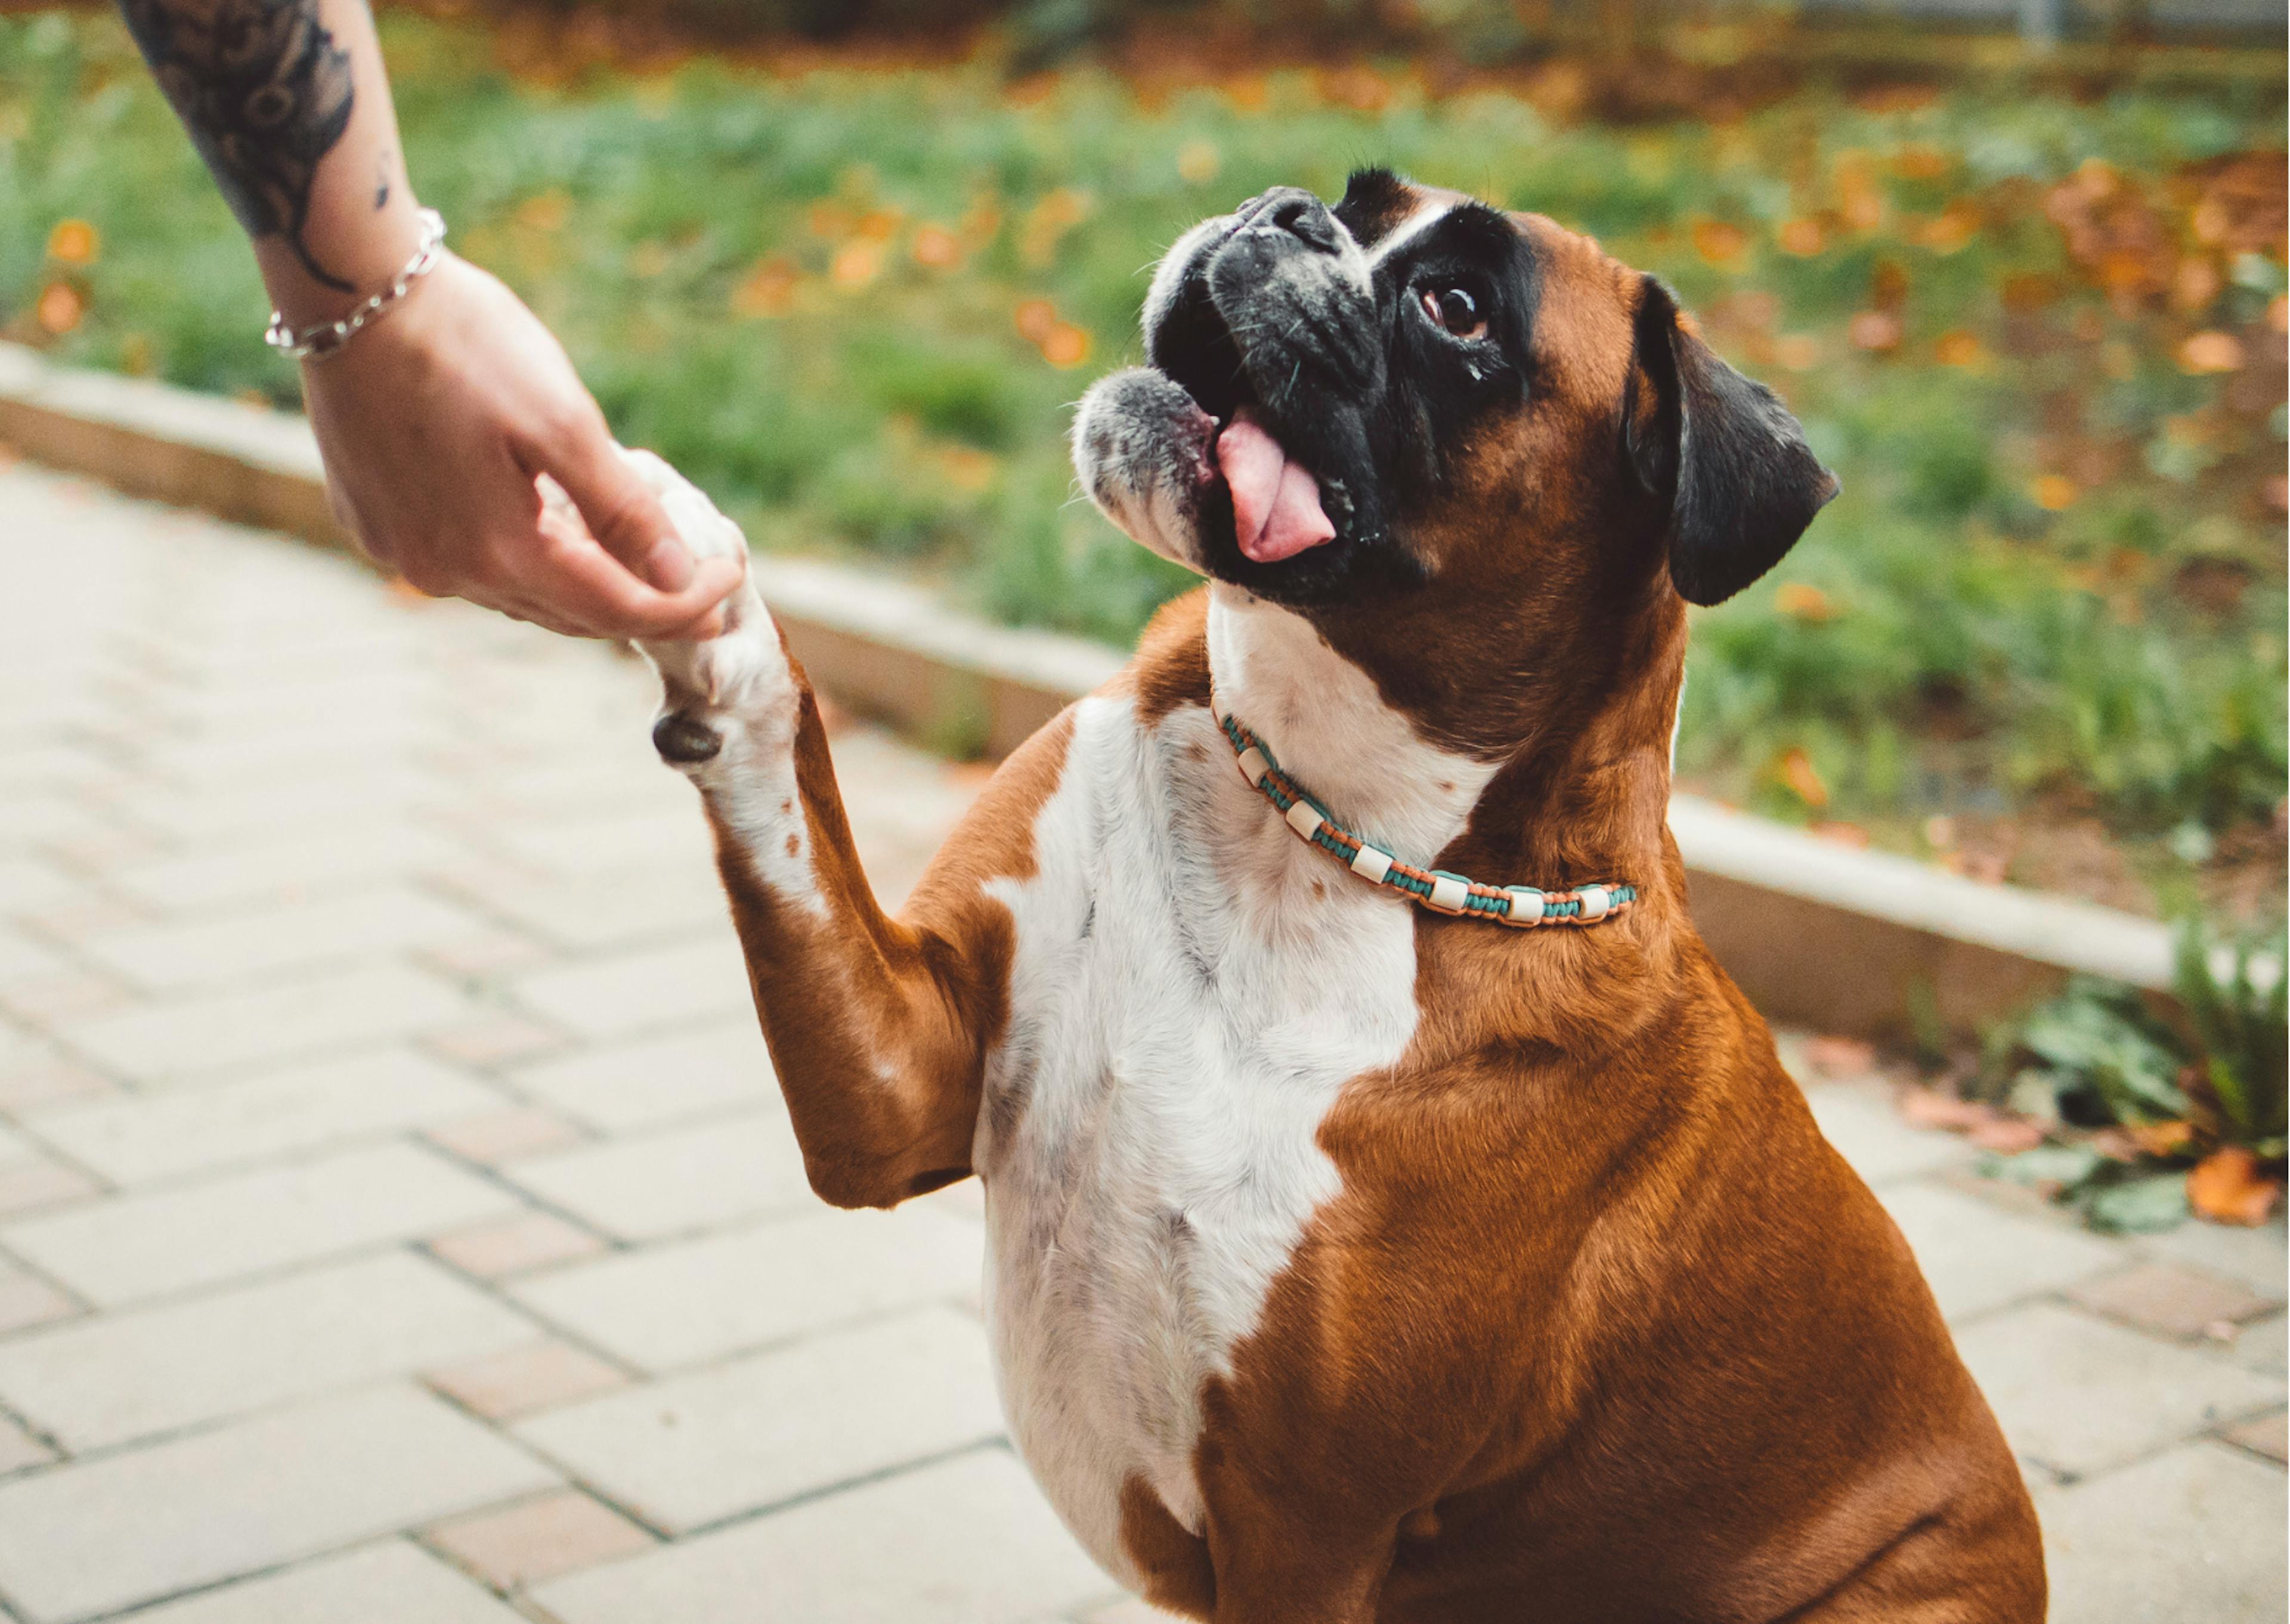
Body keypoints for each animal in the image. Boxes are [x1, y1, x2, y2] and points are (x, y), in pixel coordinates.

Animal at [627, 168, 2043, 1622]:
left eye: (1457, 307)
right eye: (1358, 205)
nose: (1285, 210)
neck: (1315, 825)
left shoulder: (1305, 1535)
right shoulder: (898, 1078)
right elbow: (788, 803)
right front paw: (690, 595)